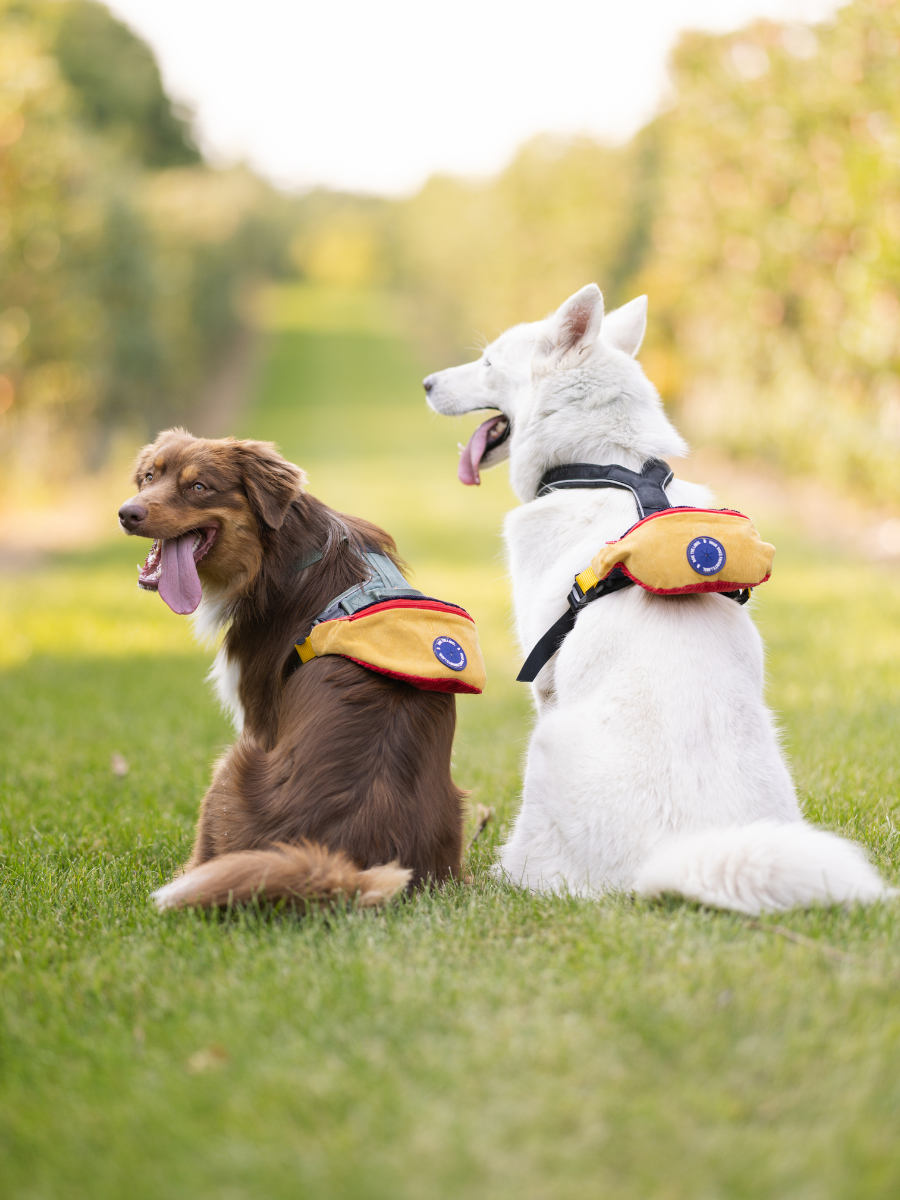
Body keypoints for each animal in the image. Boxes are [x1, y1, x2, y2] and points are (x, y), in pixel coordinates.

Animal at [118, 432, 465, 907]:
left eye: (199, 487)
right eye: (150, 477)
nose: (127, 513)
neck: (275, 554)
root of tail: (343, 864)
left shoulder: (258, 715)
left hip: (229, 767)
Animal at [427, 285, 892, 912]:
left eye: (487, 362)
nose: (426, 383)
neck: (609, 465)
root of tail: (664, 863)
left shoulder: (545, 683)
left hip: (545, 747)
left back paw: (511, 875)